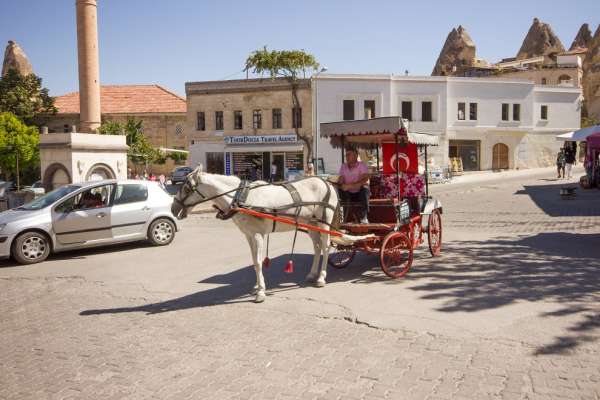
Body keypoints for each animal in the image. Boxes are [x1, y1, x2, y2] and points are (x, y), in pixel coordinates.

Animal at [173, 166, 340, 304]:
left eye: (187, 188)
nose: (173, 208)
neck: (241, 198)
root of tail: (327, 183)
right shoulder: (249, 235)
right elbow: (254, 261)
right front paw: (257, 286)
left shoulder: (258, 235)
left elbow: (259, 263)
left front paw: (260, 292)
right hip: (312, 223)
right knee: (317, 248)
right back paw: (312, 274)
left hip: (324, 222)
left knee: (325, 247)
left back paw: (321, 277)